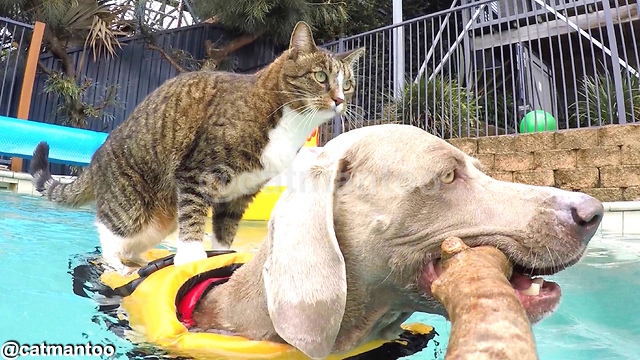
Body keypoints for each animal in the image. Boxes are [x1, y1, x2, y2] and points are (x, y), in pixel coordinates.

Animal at [30, 21, 364, 272]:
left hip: (158, 221)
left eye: (348, 84)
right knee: (110, 233)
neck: (289, 123)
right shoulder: (197, 171)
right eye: (320, 77)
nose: (340, 100)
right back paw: (119, 265)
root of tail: (97, 155)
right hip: (130, 204)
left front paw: (223, 255)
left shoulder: (243, 191)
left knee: (134, 242)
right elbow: (193, 214)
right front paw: (192, 255)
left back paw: (140, 260)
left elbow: (225, 229)